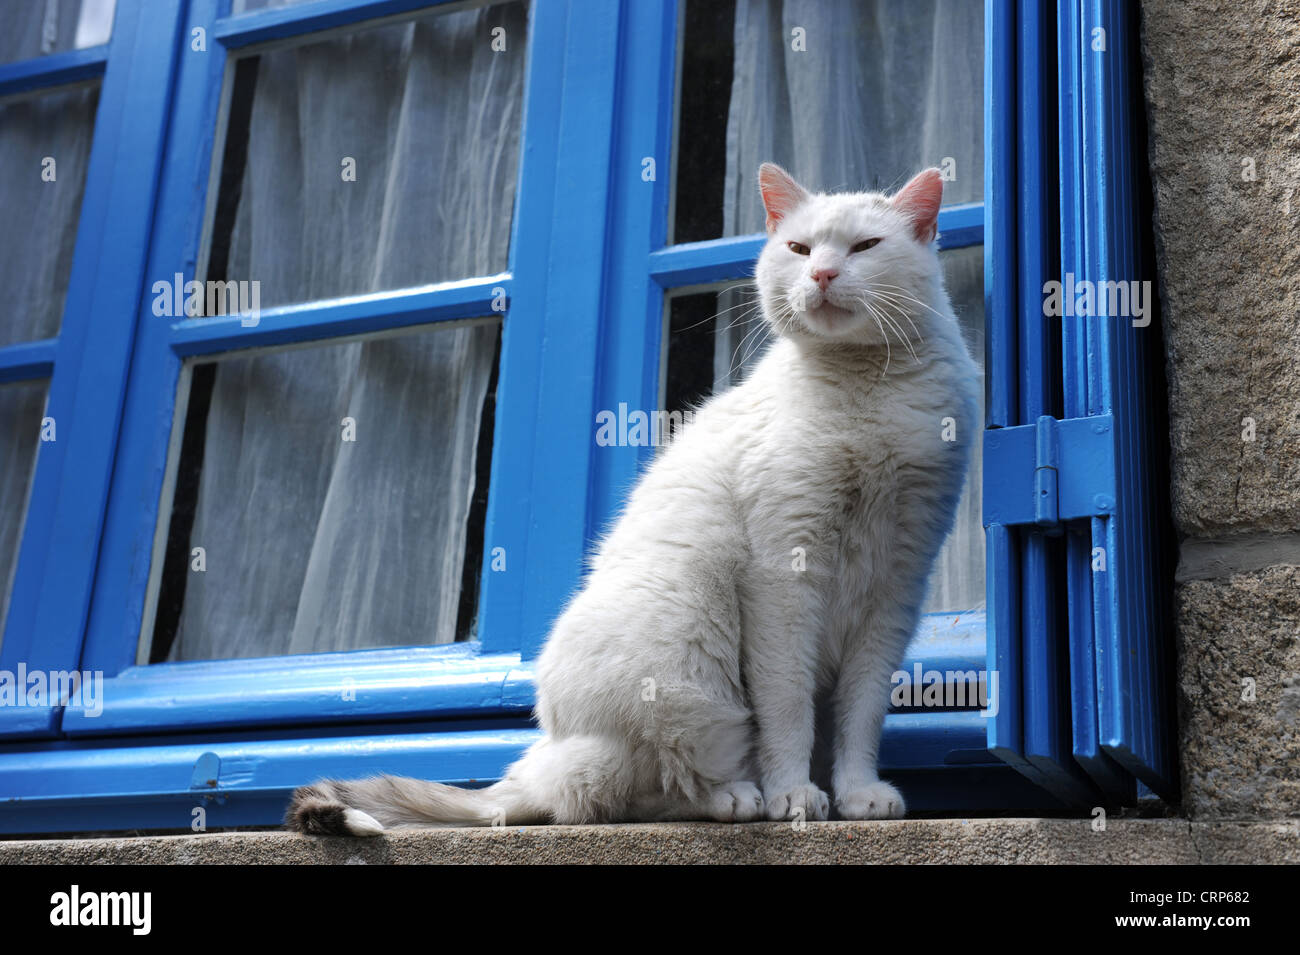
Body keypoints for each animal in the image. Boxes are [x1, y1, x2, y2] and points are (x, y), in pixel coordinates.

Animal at [284, 166, 977, 836]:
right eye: (800, 249)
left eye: (865, 247)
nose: (823, 274)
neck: (866, 391)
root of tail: (536, 760)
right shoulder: (784, 580)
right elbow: (789, 709)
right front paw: (795, 796)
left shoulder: (895, 590)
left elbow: (862, 712)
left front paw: (859, 794)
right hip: (689, 647)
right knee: (625, 794)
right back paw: (739, 796)